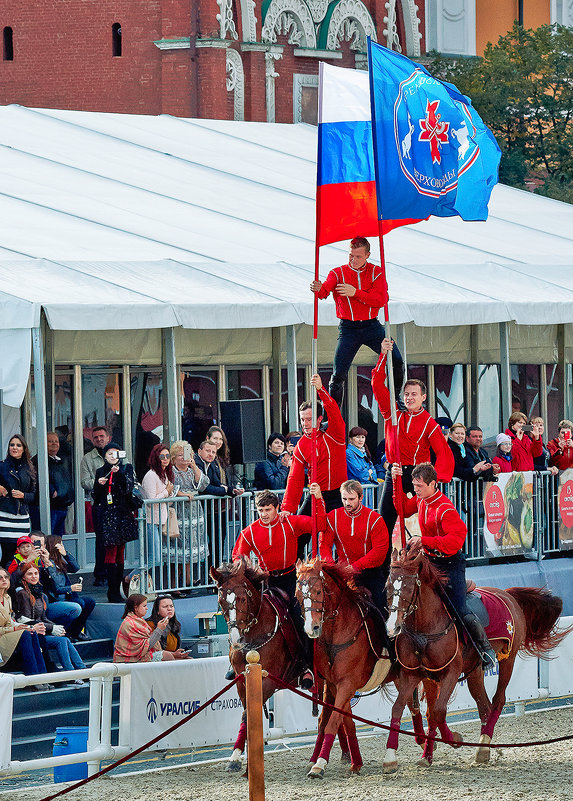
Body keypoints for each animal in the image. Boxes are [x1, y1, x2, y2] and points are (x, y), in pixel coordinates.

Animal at [210, 560, 306, 772]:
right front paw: (237, 756)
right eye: (221, 600)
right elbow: (245, 716)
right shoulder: (241, 681)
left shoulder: (268, 681)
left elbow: (247, 716)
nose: (236, 640)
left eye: (243, 599)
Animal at [294, 560, 424, 780]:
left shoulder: (347, 684)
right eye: (298, 595)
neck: (337, 635)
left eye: (318, 591)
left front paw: (319, 765)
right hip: (400, 678)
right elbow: (344, 722)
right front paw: (355, 763)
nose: (312, 628)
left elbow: (332, 722)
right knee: (412, 707)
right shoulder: (335, 685)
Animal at [380, 544, 568, 768]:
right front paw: (396, 757)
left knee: (497, 700)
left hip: (508, 659)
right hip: (474, 671)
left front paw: (455, 739)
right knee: (483, 706)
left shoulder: (451, 672)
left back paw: (482, 748)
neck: (425, 630)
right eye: (387, 586)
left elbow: (439, 711)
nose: (393, 627)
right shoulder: (415, 675)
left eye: (408, 587)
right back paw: (483, 746)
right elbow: (401, 709)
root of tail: (507, 594)